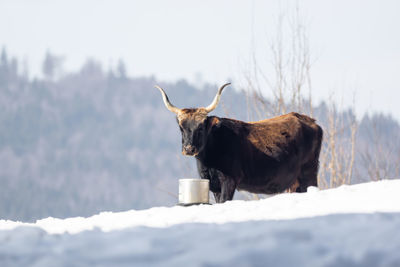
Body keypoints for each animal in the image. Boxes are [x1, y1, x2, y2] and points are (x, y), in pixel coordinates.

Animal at [155, 83, 324, 203]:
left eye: (201, 127)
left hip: (308, 172)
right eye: (181, 127)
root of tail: (310, 121)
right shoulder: (214, 186)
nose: (189, 149)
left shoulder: (229, 181)